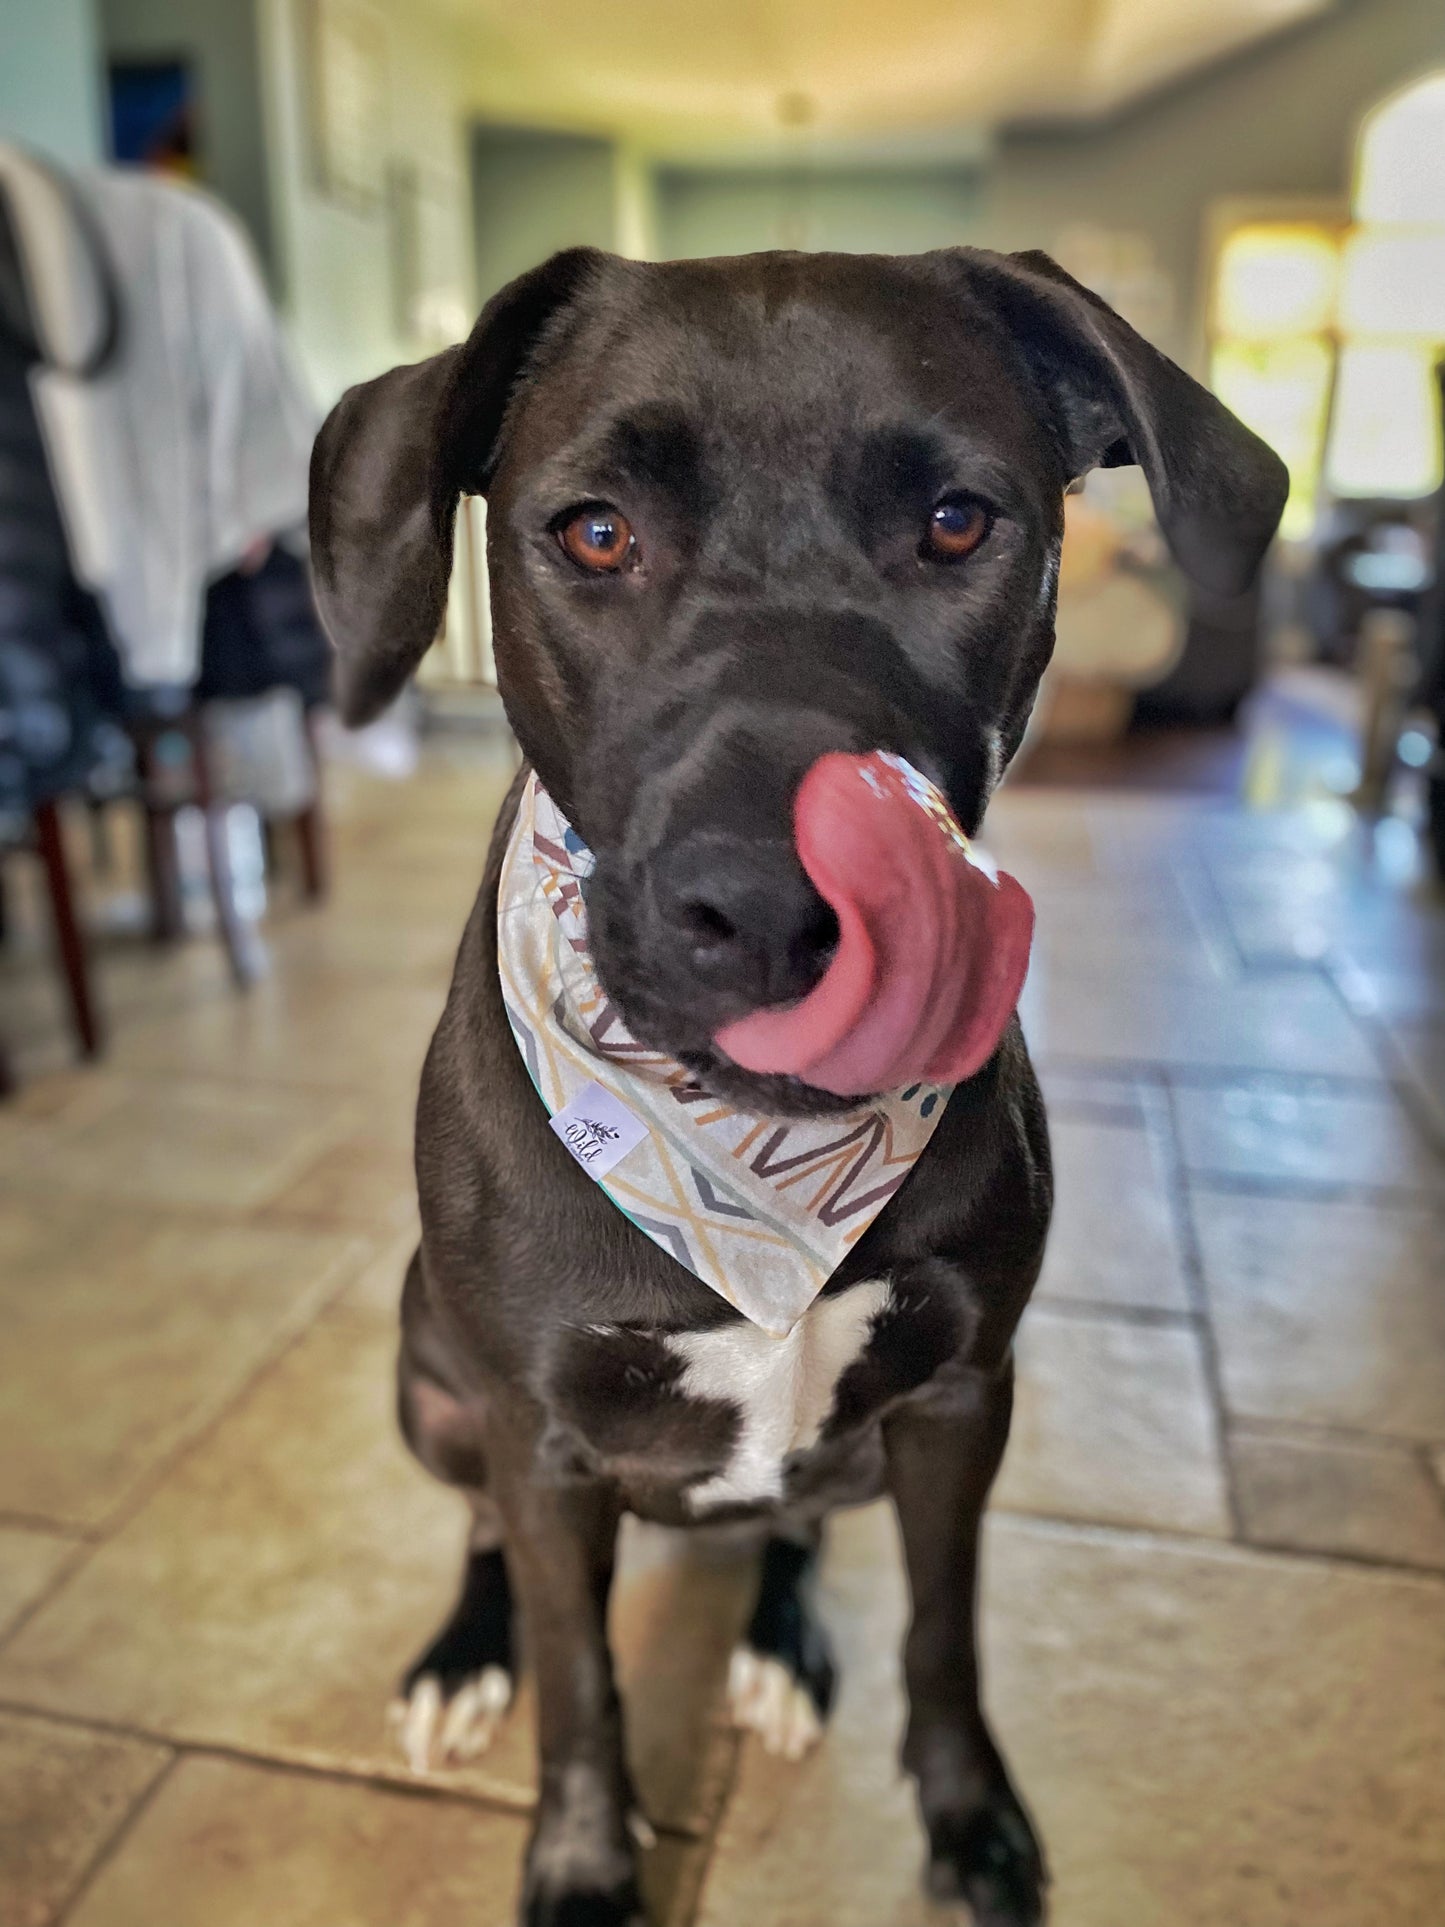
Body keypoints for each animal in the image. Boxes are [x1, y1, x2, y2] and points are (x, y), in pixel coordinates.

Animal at [314, 244, 1287, 1927]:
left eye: (957, 520)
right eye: (593, 531)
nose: (772, 906)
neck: (742, 1167)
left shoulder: (963, 1393)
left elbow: (945, 1631)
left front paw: (970, 1816)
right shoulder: (536, 1431)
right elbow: (579, 1676)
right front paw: (584, 1859)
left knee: (796, 1531)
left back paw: (779, 1644)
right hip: (427, 1381)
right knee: (483, 1531)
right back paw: (460, 1653)